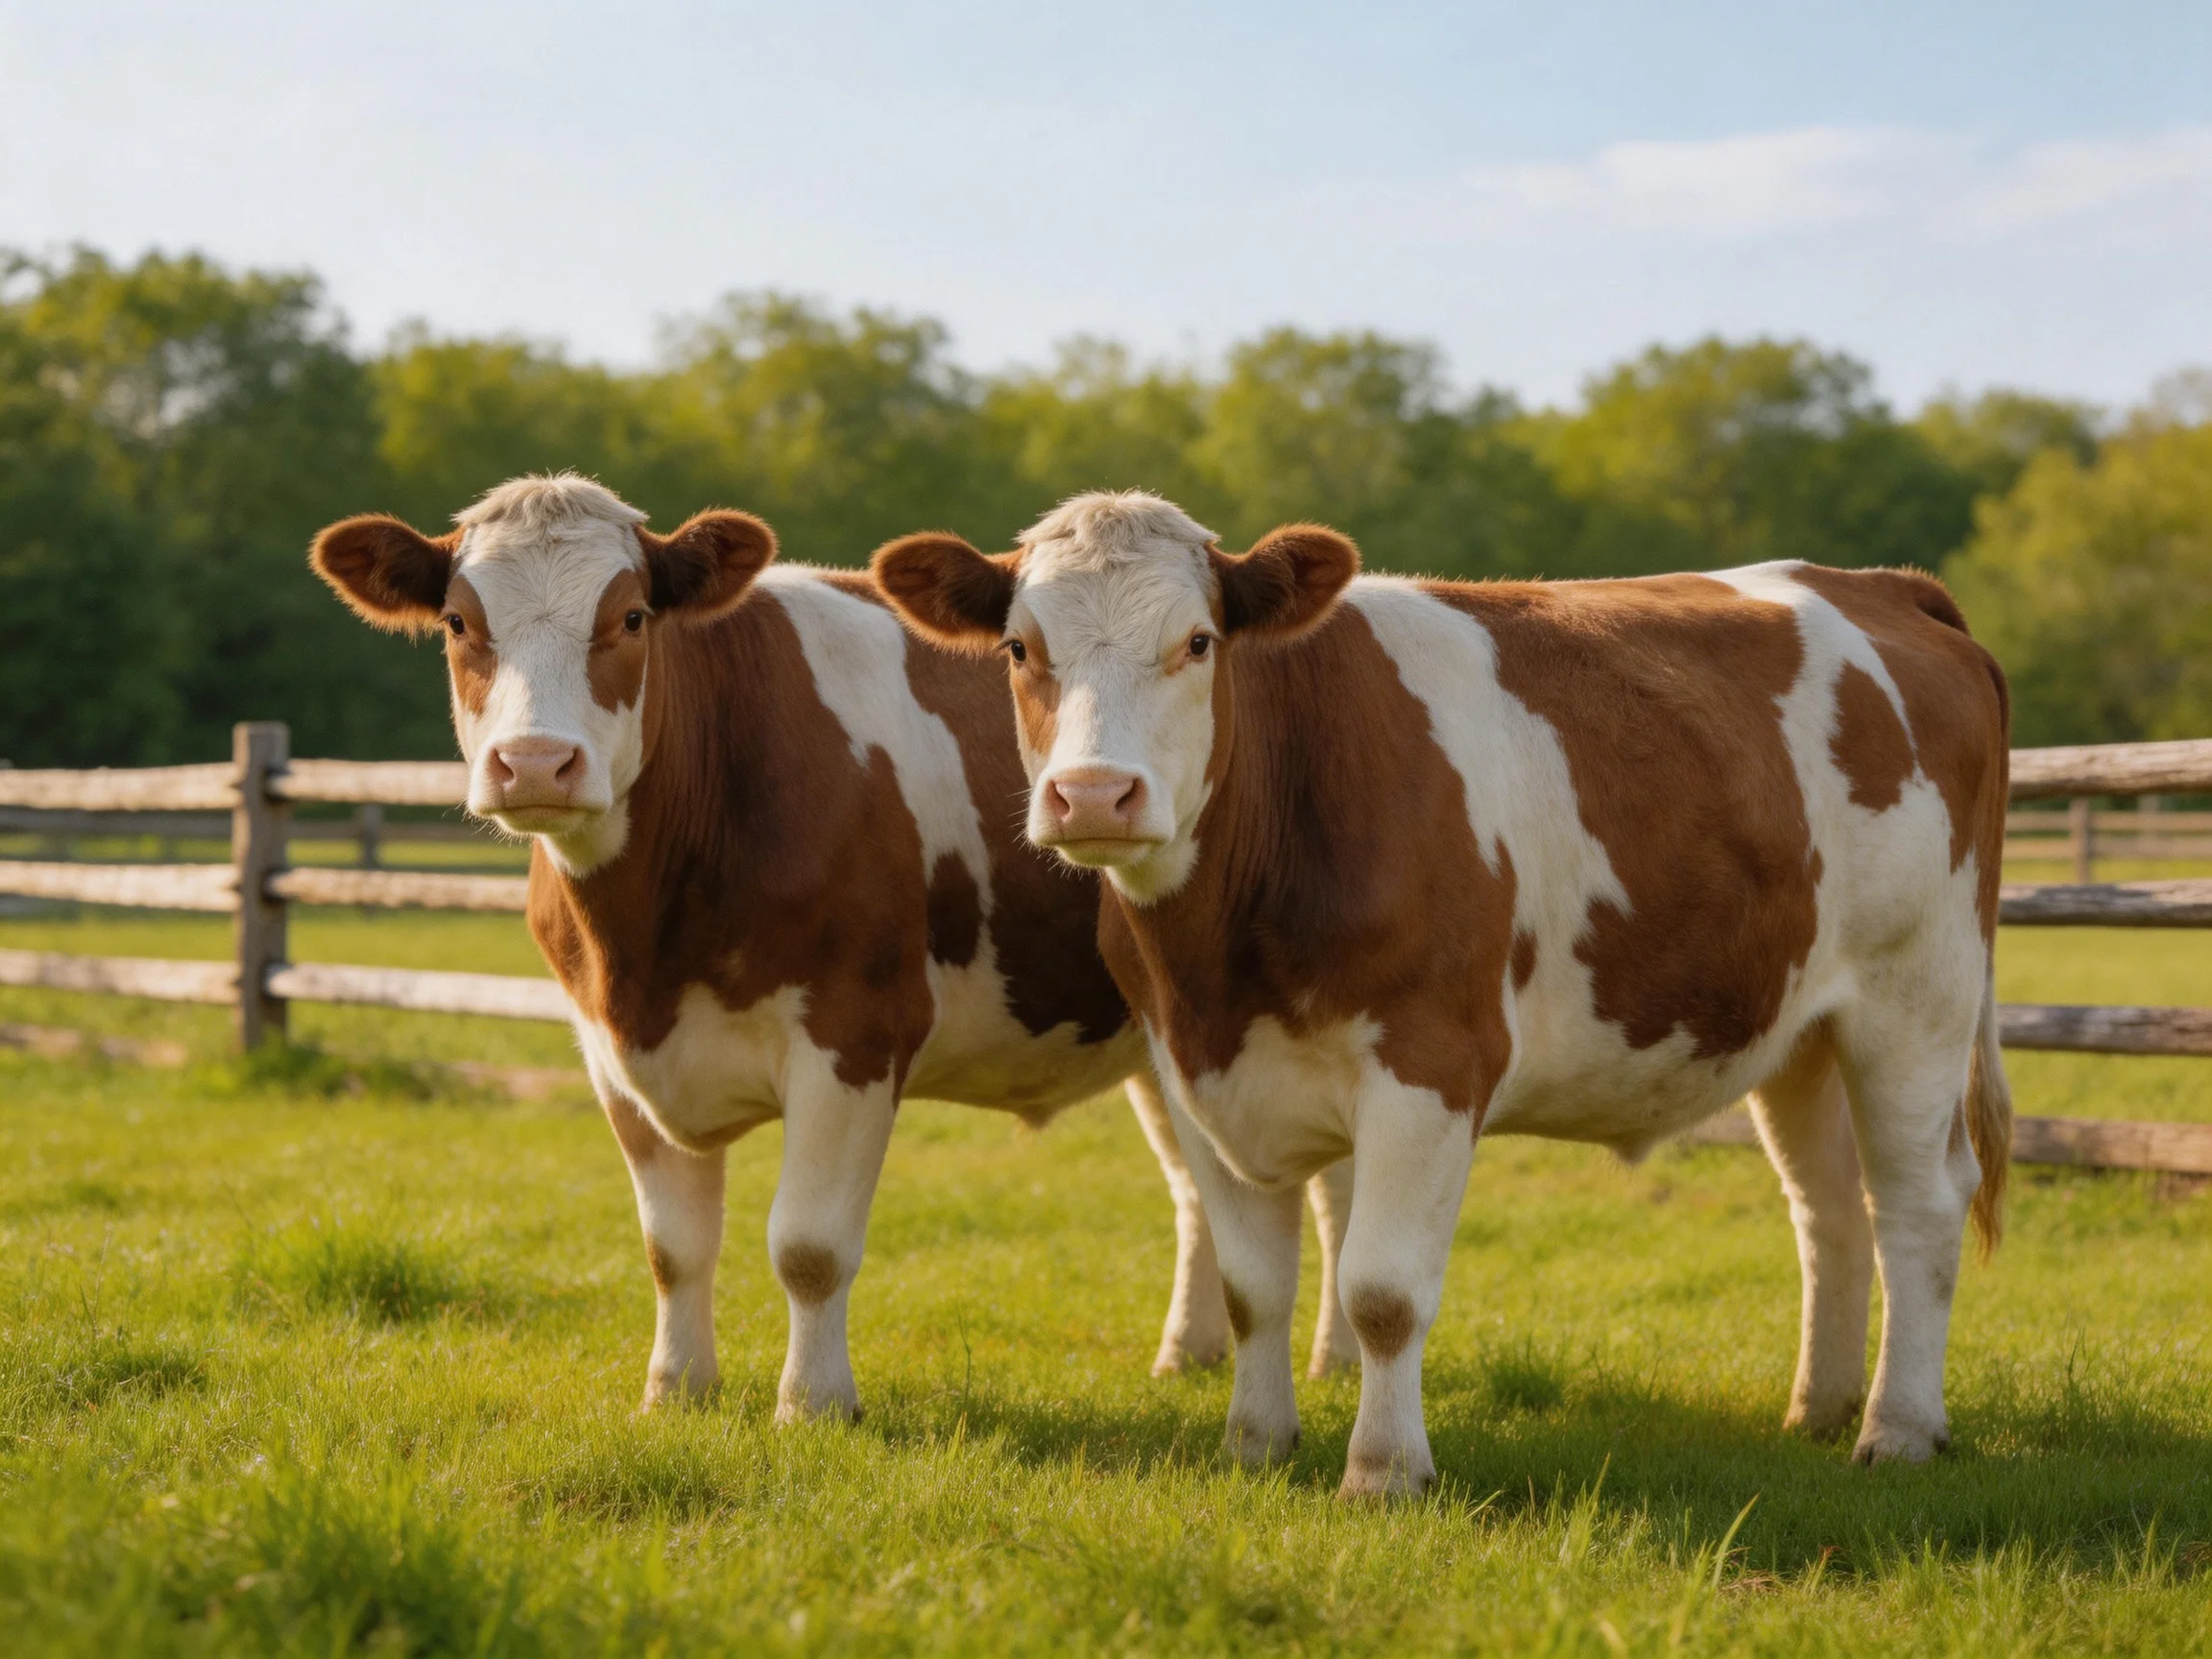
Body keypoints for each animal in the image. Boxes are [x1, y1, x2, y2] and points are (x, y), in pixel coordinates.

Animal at [308, 475, 1359, 1421]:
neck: (649, 939)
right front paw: (674, 1392)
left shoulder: (855, 1032)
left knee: (1332, 1190)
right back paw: (1188, 1352)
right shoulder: (608, 1053)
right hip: (1163, 1034)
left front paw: (812, 1405)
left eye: (634, 615)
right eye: (457, 623)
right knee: (1198, 1189)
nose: (534, 763)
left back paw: (1336, 1360)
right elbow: (673, 1247)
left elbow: (807, 1246)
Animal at [873, 489, 2014, 1496]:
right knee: (1829, 1207)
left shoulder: (1429, 1065)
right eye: (1021, 650)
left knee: (1918, 1201)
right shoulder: (1191, 1070)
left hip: (1917, 995)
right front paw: (1253, 1449)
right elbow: (1253, 1290)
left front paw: (1383, 1473)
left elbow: (1380, 1293)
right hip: (1802, 1026)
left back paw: (1897, 1431)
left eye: (1198, 642)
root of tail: (1881, 585)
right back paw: (1817, 1410)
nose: (1096, 795)